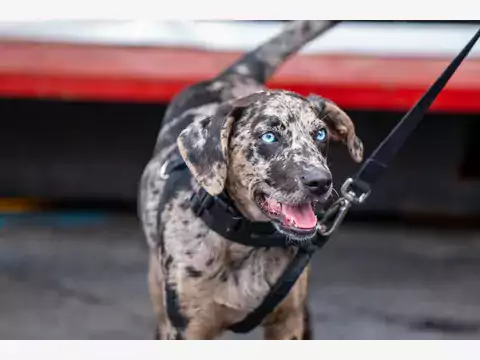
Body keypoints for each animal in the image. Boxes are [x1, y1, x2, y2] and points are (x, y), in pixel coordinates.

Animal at [139, 20, 364, 340]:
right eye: (269, 137)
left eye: (320, 134)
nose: (321, 182)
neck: (247, 242)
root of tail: (231, 75)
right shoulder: (186, 328)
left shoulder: (290, 321)